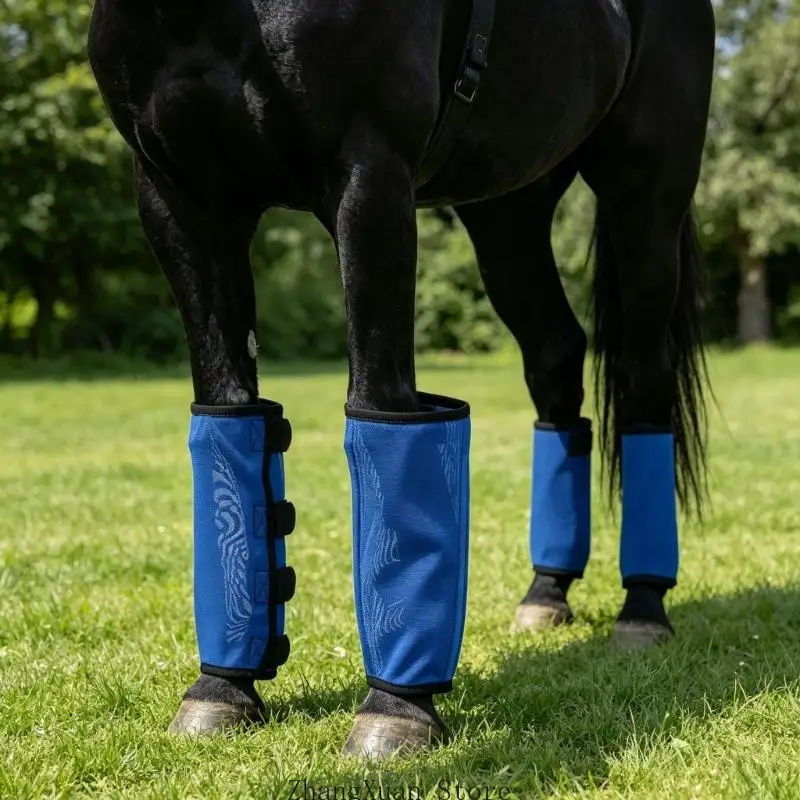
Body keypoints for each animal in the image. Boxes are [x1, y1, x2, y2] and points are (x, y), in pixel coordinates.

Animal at [86, 0, 716, 760]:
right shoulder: (180, 202)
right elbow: (229, 414)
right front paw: (222, 690)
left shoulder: (370, 180)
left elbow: (384, 409)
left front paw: (396, 710)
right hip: (508, 208)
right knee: (556, 361)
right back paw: (546, 594)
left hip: (647, 190)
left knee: (643, 379)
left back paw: (643, 609)